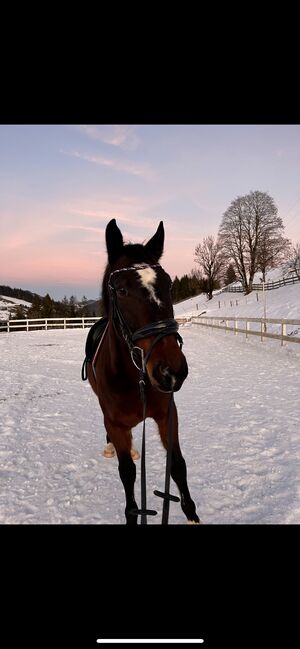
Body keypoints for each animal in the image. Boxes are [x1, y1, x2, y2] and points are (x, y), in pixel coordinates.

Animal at [86, 218, 199, 520]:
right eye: (121, 290)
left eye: (169, 285)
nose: (171, 371)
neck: (132, 377)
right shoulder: (115, 423)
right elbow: (127, 474)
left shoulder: (168, 415)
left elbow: (178, 465)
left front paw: (192, 515)